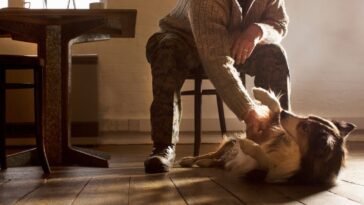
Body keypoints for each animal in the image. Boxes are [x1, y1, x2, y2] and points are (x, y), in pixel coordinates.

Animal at [179, 87, 356, 184]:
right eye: (308, 117)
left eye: (305, 127)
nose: (286, 113)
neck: (294, 149)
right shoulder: (267, 130)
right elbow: (275, 108)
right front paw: (261, 93)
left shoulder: (265, 173)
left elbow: (264, 159)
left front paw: (248, 145)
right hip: (229, 143)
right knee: (211, 154)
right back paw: (190, 159)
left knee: (217, 160)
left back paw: (205, 162)